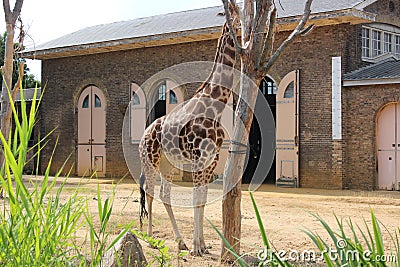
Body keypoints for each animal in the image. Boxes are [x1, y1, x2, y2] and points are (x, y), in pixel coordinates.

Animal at [138, 10, 239, 258]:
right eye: (232, 13)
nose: (241, 28)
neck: (215, 107)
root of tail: (143, 135)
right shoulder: (197, 158)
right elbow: (195, 199)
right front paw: (196, 247)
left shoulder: (211, 160)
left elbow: (201, 200)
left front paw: (199, 244)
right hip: (150, 160)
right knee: (150, 192)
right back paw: (150, 236)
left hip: (168, 165)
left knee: (164, 193)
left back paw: (179, 241)